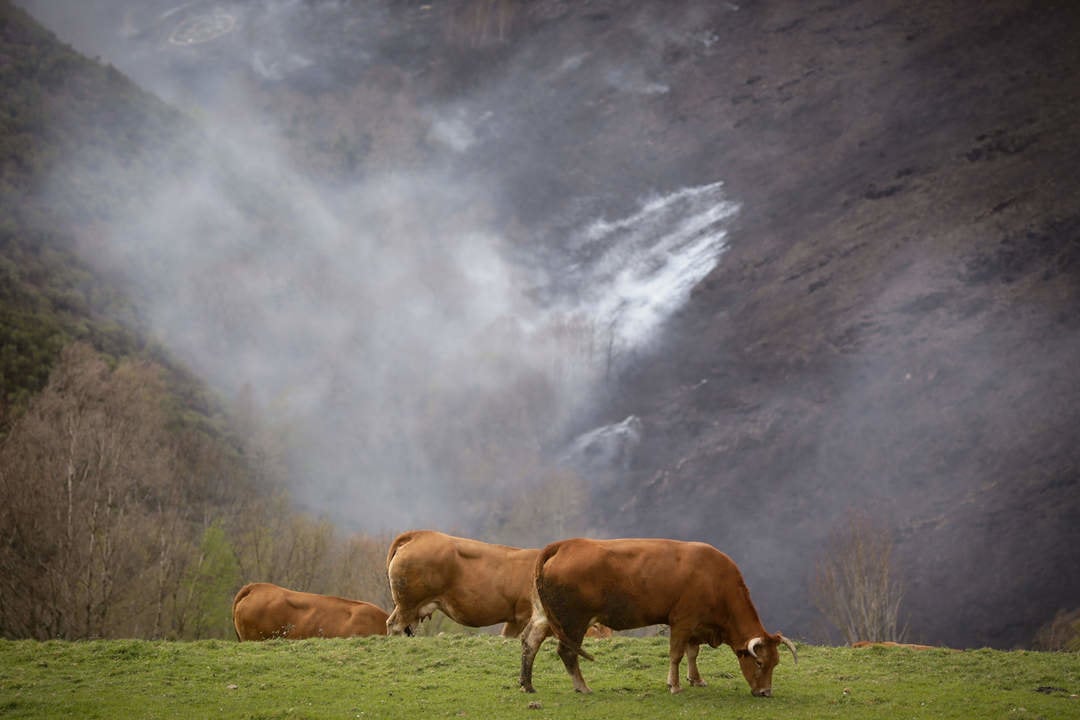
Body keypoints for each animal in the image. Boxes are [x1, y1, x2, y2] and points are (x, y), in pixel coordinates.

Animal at [518, 539, 799, 699]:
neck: (715, 579)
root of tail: (567, 544)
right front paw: (674, 686)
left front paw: (696, 679)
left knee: (530, 642)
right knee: (567, 652)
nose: (765, 692)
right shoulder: (683, 620)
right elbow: (676, 654)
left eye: (775, 663)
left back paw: (527, 684)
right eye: (760, 663)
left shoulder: (696, 626)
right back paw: (582, 686)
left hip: (544, 616)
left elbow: (692, 653)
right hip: (574, 622)